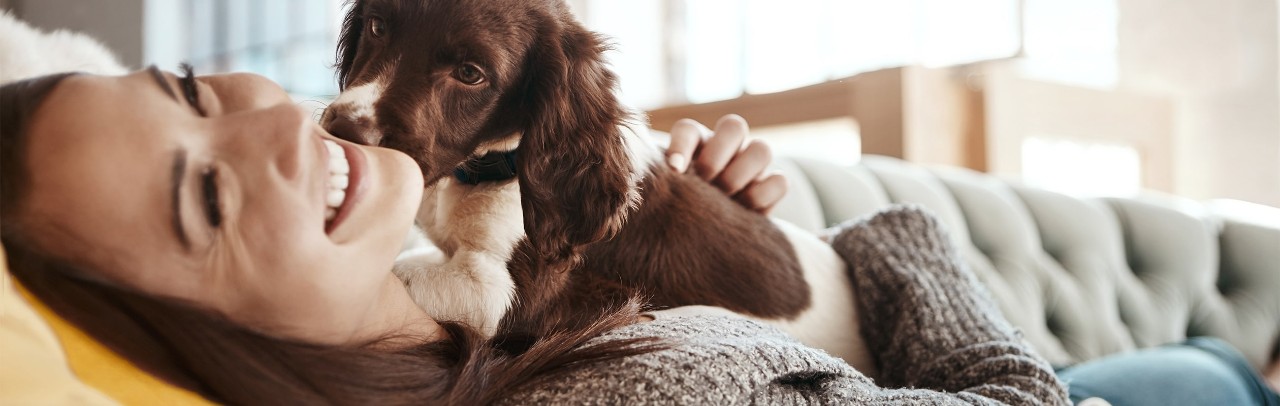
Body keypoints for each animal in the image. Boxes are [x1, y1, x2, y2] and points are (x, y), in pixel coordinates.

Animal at [322, 0, 870, 371]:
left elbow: (401, 271)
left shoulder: (513, 296)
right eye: (377, 26)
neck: (486, 168)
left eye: (471, 73)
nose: (343, 131)